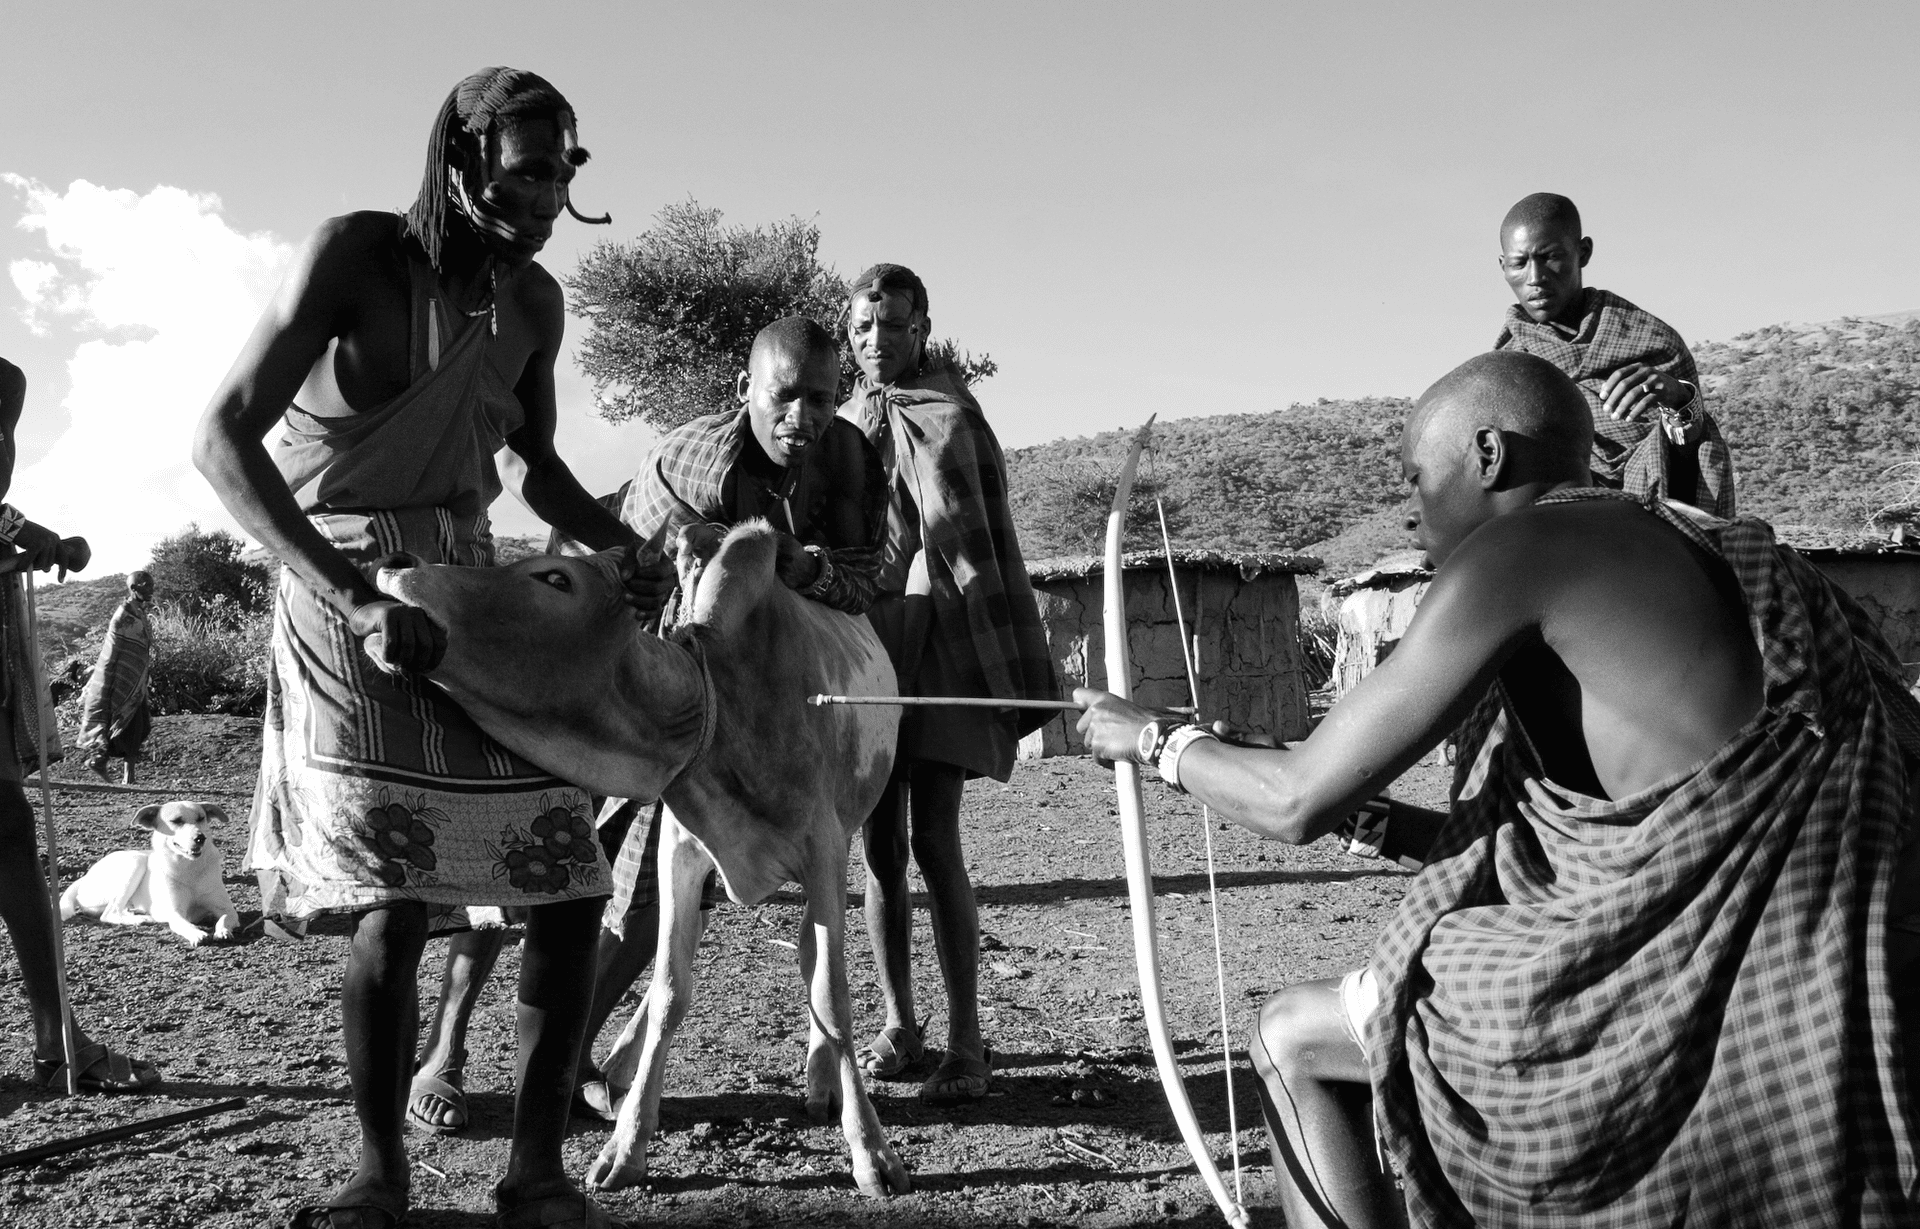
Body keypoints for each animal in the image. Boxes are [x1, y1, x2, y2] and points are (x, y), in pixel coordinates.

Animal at [62, 798, 240, 952]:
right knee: (109, 913)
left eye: (201, 818)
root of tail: (84, 877)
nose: (200, 838)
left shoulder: (227, 909)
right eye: (177, 821)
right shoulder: (175, 913)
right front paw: (197, 933)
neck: (188, 869)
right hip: (135, 862)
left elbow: (224, 918)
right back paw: (141, 919)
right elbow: (185, 924)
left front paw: (222, 931)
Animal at [382, 522, 913, 1198]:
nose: (398, 562)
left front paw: (871, 1149)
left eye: (555, 578)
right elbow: (668, 992)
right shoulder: (679, 852)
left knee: (809, 958)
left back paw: (822, 1083)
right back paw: (620, 1067)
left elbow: (831, 994)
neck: (724, 701)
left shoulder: (823, 853)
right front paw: (627, 1143)